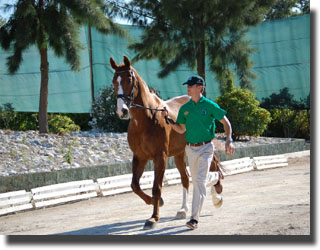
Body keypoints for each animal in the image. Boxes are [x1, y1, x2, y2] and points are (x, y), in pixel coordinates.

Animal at [109, 55, 221, 229]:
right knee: (185, 178)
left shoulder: (159, 156)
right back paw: (183, 210)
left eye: (128, 79)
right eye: (114, 81)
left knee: (213, 166)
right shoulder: (140, 157)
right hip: (180, 154)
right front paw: (156, 202)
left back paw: (217, 197)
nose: (122, 111)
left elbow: (156, 187)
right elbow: (135, 185)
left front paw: (153, 218)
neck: (146, 119)